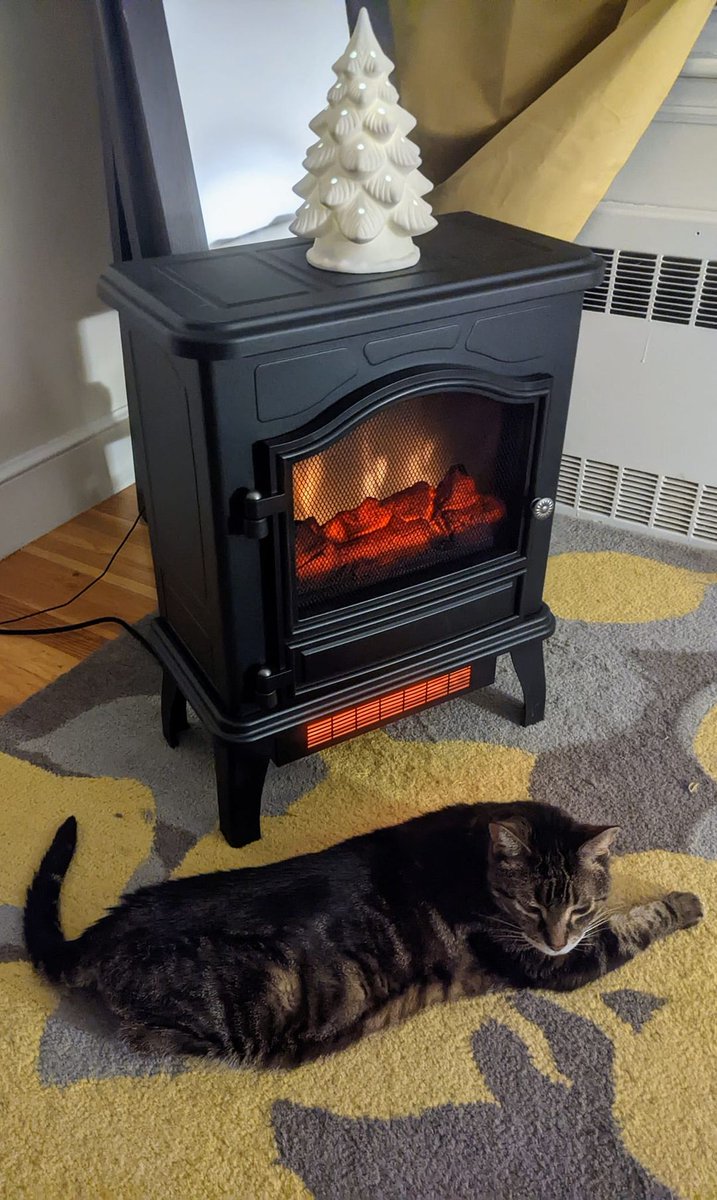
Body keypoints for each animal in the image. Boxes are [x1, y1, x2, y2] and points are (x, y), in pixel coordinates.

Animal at [26, 796, 700, 1070]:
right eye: (534, 909)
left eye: (577, 907)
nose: (557, 937)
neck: (476, 861)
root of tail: (107, 926)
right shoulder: (554, 966)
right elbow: (632, 926)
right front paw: (687, 901)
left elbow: (617, 920)